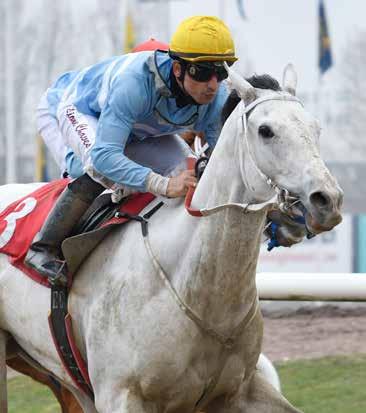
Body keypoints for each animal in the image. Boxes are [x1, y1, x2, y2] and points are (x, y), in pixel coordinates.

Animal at [0, 62, 344, 410]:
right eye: (266, 130)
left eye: (316, 129)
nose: (327, 199)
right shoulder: (121, 395)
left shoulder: (239, 391)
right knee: (92, 169)